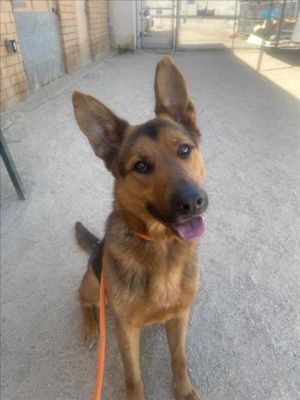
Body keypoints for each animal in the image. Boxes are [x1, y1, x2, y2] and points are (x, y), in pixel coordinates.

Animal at [72, 57, 209, 400]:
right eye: (141, 166)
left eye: (184, 150)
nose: (193, 202)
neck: (161, 246)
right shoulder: (125, 330)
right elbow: (134, 378)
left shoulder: (181, 316)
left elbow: (179, 359)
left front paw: (184, 391)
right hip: (93, 283)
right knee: (81, 299)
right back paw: (90, 326)